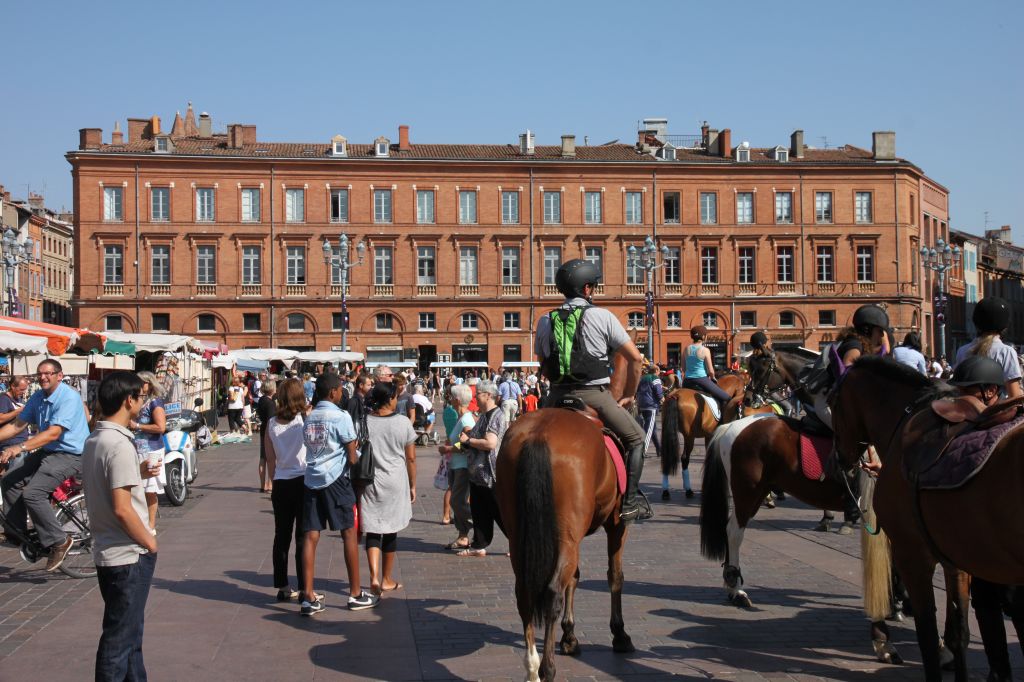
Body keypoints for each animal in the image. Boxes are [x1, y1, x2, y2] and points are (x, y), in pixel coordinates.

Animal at [493, 405, 630, 675]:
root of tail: (539, 435)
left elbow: (574, 578)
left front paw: (569, 636)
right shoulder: (616, 523)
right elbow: (615, 576)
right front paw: (619, 634)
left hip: (521, 539)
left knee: (524, 593)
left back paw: (532, 667)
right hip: (569, 537)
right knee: (552, 592)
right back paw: (547, 668)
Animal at [831, 356, 1024, 679]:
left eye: (832, 402)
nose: (837, 460)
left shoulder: (913, 556)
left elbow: (928, 634)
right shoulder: (957, 559)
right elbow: (959, 632)